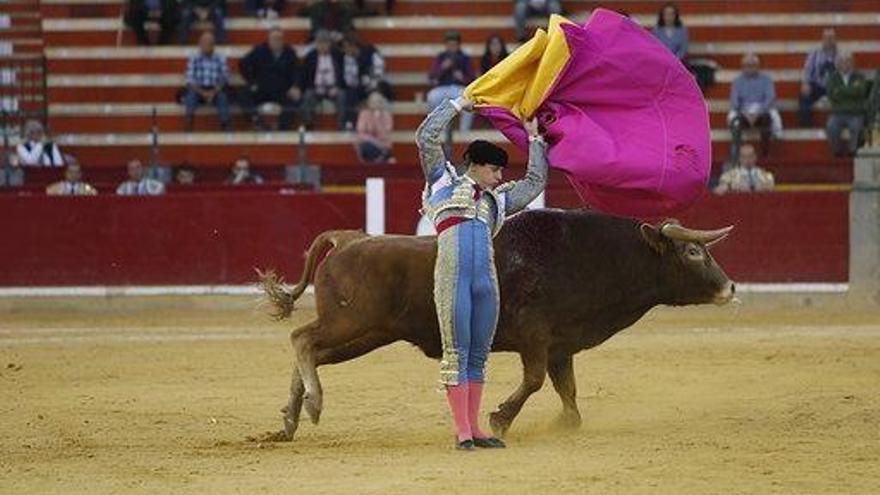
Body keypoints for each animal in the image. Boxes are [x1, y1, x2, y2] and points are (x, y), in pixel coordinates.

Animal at [262, 209, 736, 442]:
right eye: (693, 252)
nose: (730, 287)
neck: (586, 255)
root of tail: (349, 238)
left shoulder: (561, 345)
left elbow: (566, 389)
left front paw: (564, 422)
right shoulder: (535, 337)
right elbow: (535, 380)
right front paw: (500, 419)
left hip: (369, 332)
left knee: (313, 351)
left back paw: (290, 418)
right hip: (351, 320)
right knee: (302, 338)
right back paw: (313, 405)